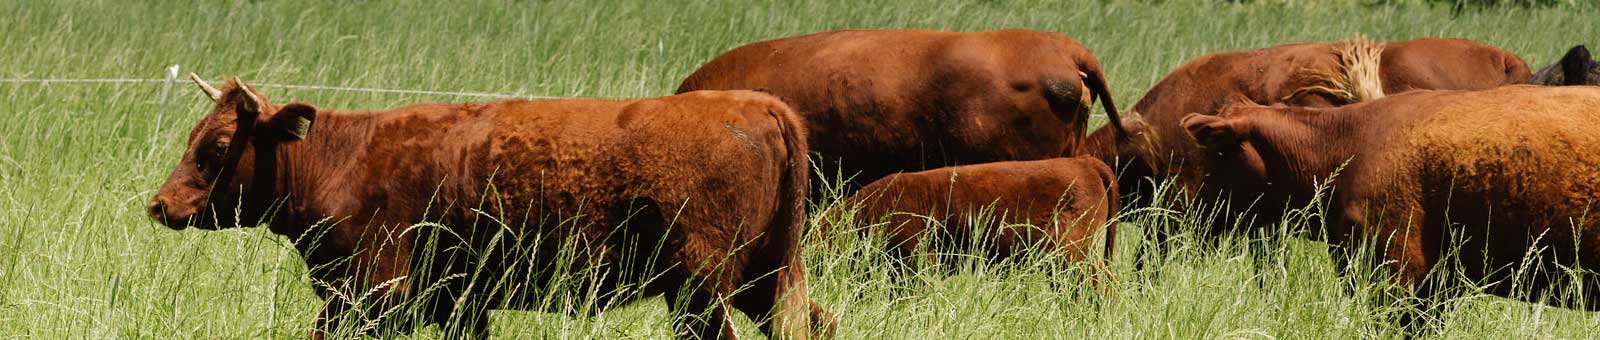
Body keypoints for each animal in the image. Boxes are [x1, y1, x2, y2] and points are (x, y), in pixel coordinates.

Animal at [147, 75, 838, 338]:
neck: (342, 157)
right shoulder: (458, 302)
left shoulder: (372, 295)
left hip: (702, 289)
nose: (159, 204)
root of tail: (757, 104)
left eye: (215, 147)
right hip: (763, 277)